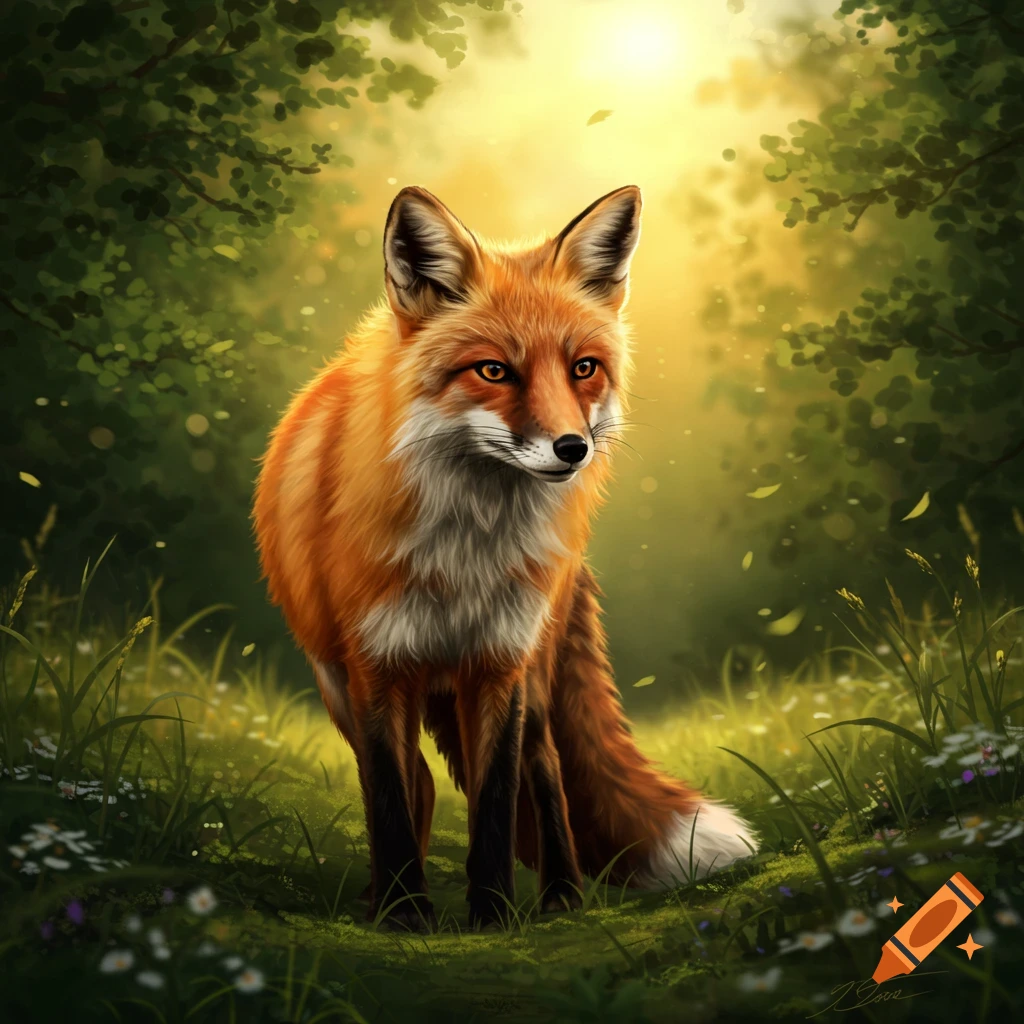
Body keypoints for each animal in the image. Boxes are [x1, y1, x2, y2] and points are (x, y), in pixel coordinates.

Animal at [252, 184, 757, 930]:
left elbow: (495, 801)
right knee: (418, 781)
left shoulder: (500, 662)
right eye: (493, 370)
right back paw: (386, 896)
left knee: (546, 773)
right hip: (337, 684)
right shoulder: (376, 667)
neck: (467, 554)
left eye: (583, 368)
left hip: (536, 680)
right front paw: (404, 913)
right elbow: (390, 799)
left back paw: (563, 895)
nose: (573, 448)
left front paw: (491, 912)